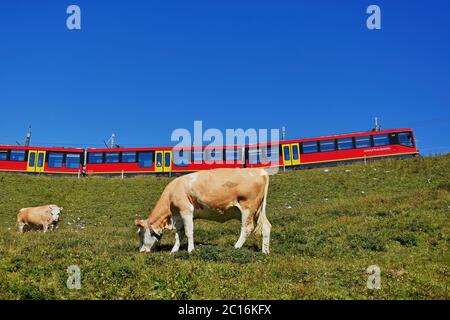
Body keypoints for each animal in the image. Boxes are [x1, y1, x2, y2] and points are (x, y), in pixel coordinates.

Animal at [134, 168, 270, 255]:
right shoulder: (179, 215)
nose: (141, 251)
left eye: (140, 233)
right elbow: (179, 234)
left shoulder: (186, 211)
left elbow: (188, 232)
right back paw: (265, 251)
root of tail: (261, 171)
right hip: (258, 211)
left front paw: (190, 250)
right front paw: (174, 251)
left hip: (248, 208)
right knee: (266, 226)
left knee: (247, 228)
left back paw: (236, 247)